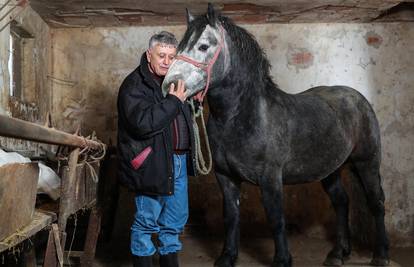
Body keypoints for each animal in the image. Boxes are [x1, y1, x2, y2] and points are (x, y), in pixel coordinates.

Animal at [161, 4, 388, 267]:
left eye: (204, 46)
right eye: (179, 47)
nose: (169, 85)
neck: (241, 116)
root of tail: (358, 98)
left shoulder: (270, 178)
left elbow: (276, 218)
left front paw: (282, 260)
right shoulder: (225, 177)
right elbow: (231, 216)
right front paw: (227, 257)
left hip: (366, 163)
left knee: (376, 202)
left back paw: (381, 255)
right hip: (330, 170)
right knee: (341, 202)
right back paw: (338, 253)